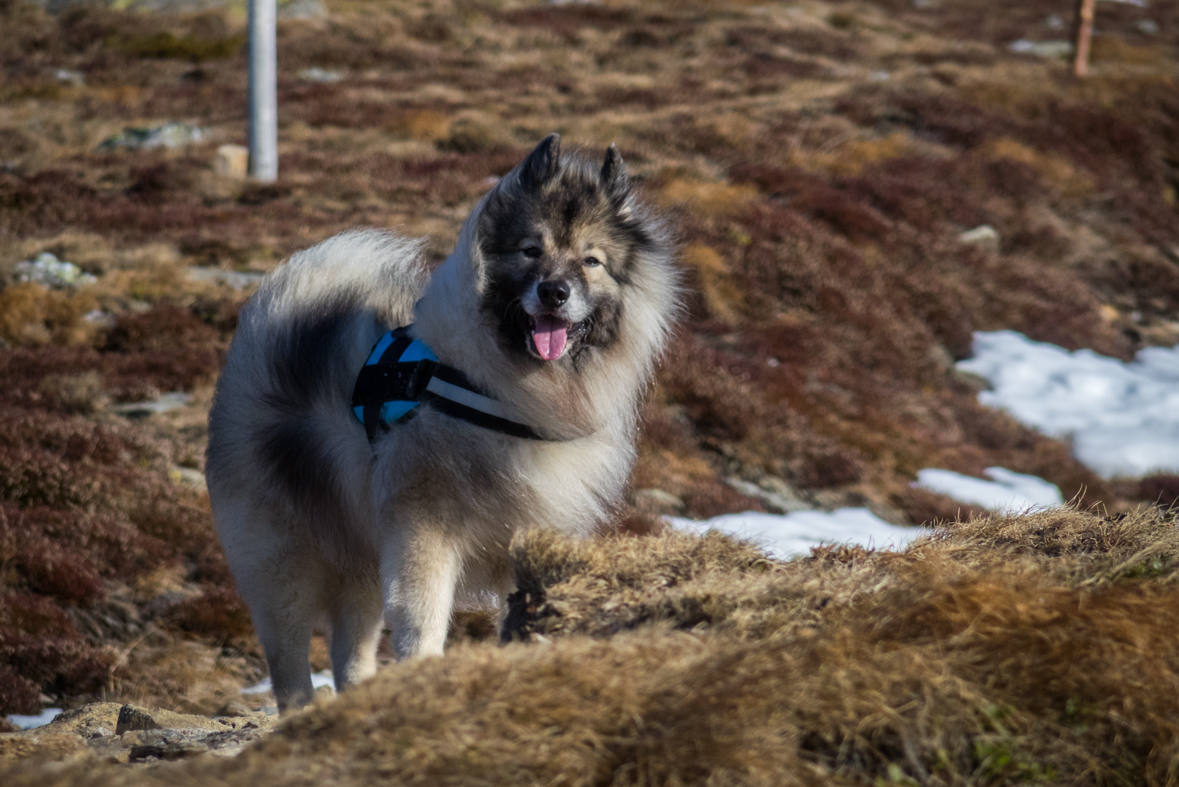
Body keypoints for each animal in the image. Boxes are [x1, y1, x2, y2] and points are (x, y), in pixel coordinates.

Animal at [207, 135, 679, 711]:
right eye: (531, 250)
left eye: (591, 261)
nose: (554, 292)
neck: (505, 393)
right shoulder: (423, 529)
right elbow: (422, 621)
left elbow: (522, 615)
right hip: (283, 558)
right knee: (289, 653)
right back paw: (301, 712)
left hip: (359, 555)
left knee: (351, 649)